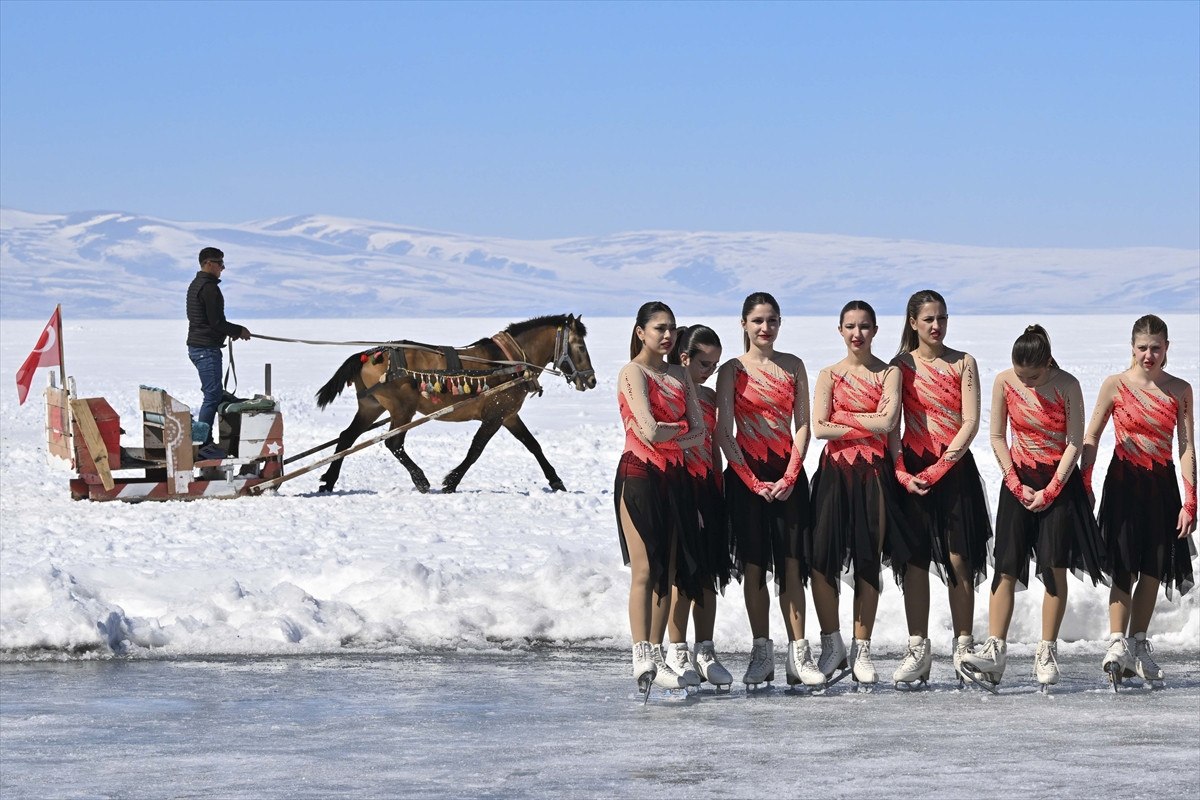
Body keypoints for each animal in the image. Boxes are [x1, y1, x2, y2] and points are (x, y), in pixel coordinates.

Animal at [314, 314, 596, 493]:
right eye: (580, 346)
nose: (591, 380)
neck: (509, 361)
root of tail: (369, 354)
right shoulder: (494, 416)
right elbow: (475, 450)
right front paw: (451, 482)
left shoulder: (508, 415)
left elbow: (533, 445)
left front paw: (556, 481)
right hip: (402, 408)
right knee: (393, 443)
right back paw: (421, 480)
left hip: (372, 406)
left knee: (346, 437)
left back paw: (328, 481)